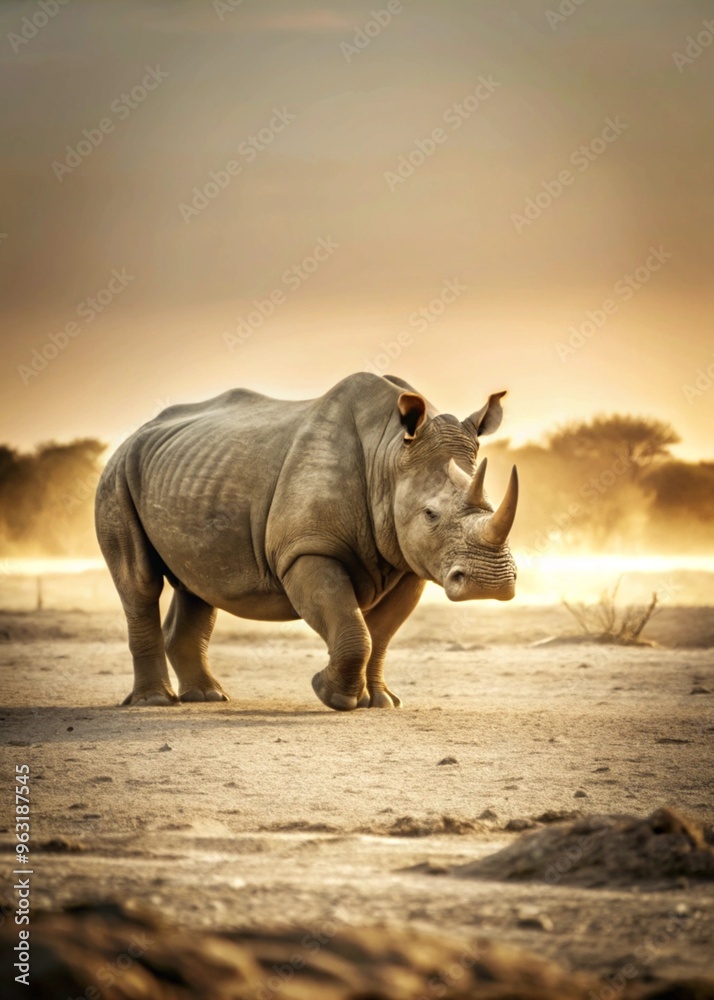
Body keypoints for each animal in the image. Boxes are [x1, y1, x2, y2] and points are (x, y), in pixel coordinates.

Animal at [95, 373, 518, 711]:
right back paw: (155, 701)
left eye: (491, 504)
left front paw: (380, 702)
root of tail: (135, 434)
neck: (389, 456)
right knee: (141, 582)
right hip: (116, 475)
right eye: (431, 514)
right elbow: (353, 629)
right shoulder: (307, 549)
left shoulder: (409, 561)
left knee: (199, 584)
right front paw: (332, 696)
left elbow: (381, 635)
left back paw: (208, 697)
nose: (489, 584)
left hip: (187, 473)